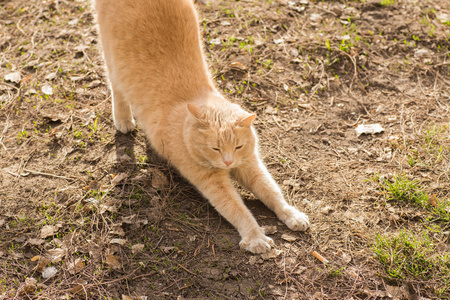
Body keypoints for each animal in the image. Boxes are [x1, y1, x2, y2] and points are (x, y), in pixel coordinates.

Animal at [93, 0, 308, 253]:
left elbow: (272, 191)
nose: (228, 162)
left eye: (237, 147)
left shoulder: (250, 166)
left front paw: (291, 214)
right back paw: (124, 120)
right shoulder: (212, 182)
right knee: (115, 87)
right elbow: (237, 209)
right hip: (112, 61)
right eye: (215, 148)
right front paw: (256, 236)